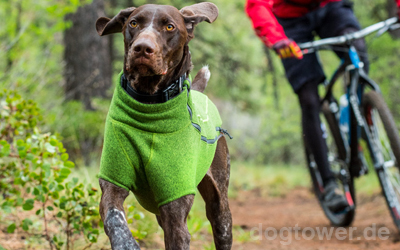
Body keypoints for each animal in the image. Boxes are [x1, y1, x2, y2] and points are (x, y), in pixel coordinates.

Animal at [95, 2, 231, 250]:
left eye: (169, 26)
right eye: (133, 23)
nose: (142, 48)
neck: (149, 105)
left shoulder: (175, 210)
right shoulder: (113, 183)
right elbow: (115, 219)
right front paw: (126, 244)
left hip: (220, 210)